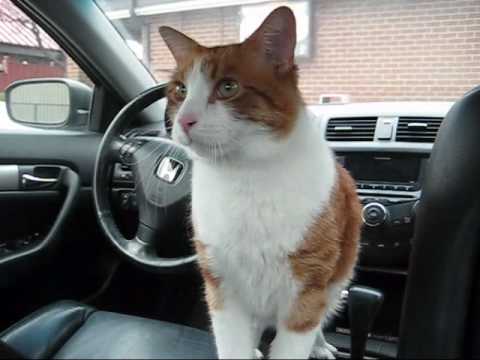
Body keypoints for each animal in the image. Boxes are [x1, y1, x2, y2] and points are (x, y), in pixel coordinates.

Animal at [160, 6, 360, 360]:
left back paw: (320, 345)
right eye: (180, 90)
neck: (244, 178)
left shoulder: (306, 291)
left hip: (335, 281)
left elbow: (300, 334)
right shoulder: (222, 287)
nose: (183, 120)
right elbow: (232, 344)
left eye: (228, 87)